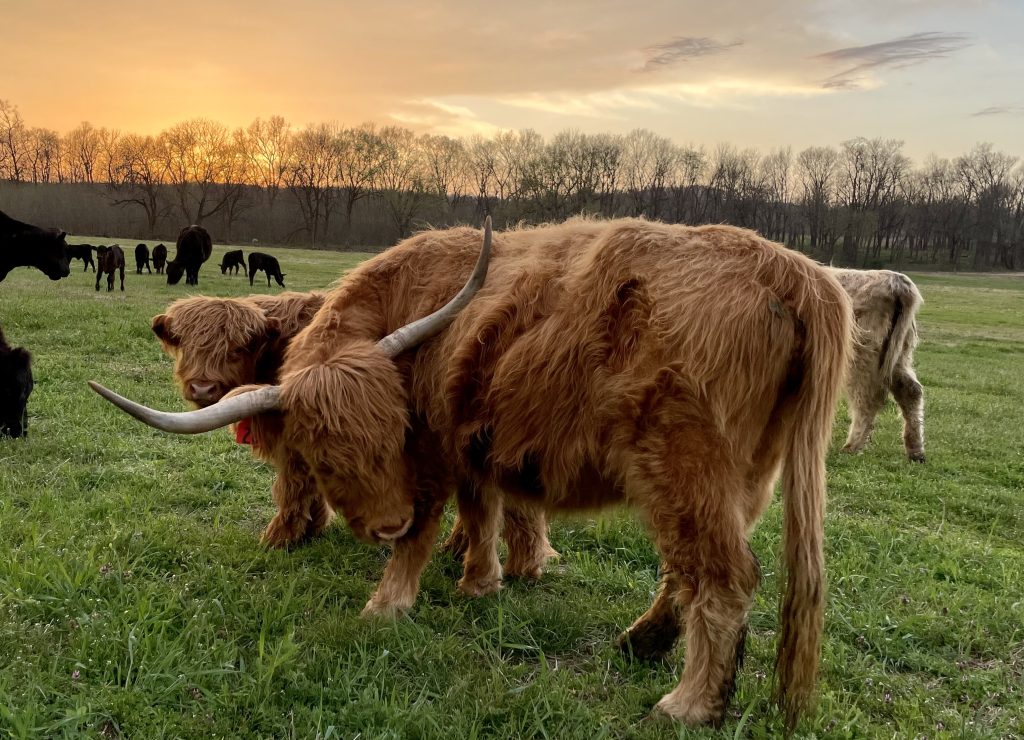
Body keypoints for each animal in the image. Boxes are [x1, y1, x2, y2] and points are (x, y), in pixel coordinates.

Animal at [93, 218, 852, 730]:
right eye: (329, 453)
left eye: (392, 435)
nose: (384, 521)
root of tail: (793, 270)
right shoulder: (473, 443)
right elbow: (483, 509)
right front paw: (482, 581)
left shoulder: (434, 448)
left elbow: (430, 522)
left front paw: (387, 603)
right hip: (737, 477)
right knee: (689, 569)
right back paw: (644, 642)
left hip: (683, 463)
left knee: (725, 578)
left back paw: (688, 703)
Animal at [830, 268, 925, 462]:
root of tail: (896, 280)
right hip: (899, 355)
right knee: (910, 391)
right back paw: (916, 451)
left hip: (861, 357)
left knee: (867, 398)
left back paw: (852, 446)